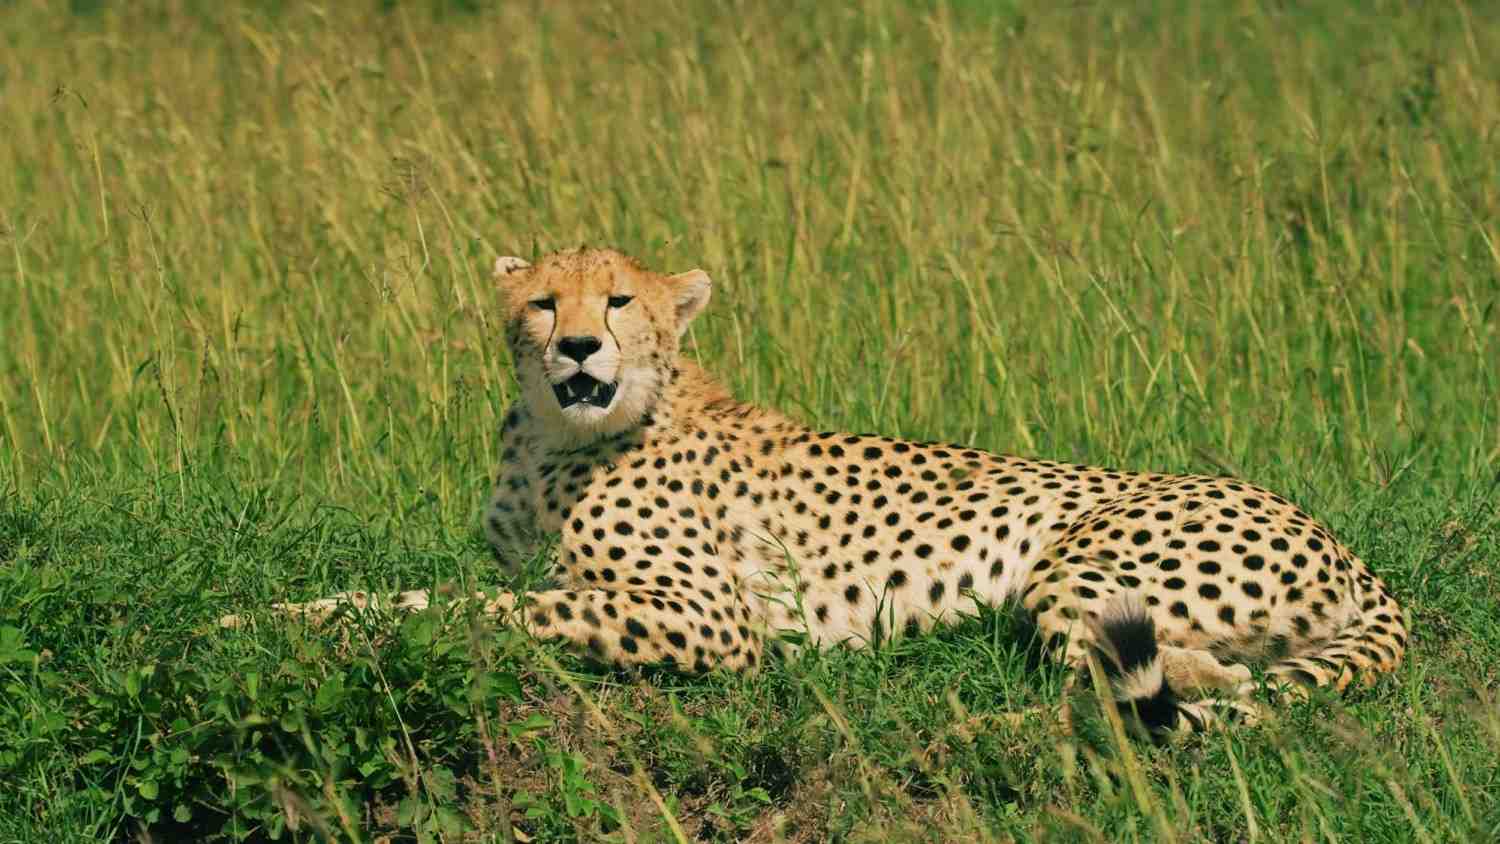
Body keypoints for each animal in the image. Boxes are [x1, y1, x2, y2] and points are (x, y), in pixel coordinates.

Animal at [227, 247, 1409, 735]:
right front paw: (276, 615)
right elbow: (439, 595)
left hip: (1080, 570)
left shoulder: (713, 621)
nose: (576, 346)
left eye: (619, 301)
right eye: (544, 303)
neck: (558, 436)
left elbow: (502, 609)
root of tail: (1339, 539)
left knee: (1200, 682)